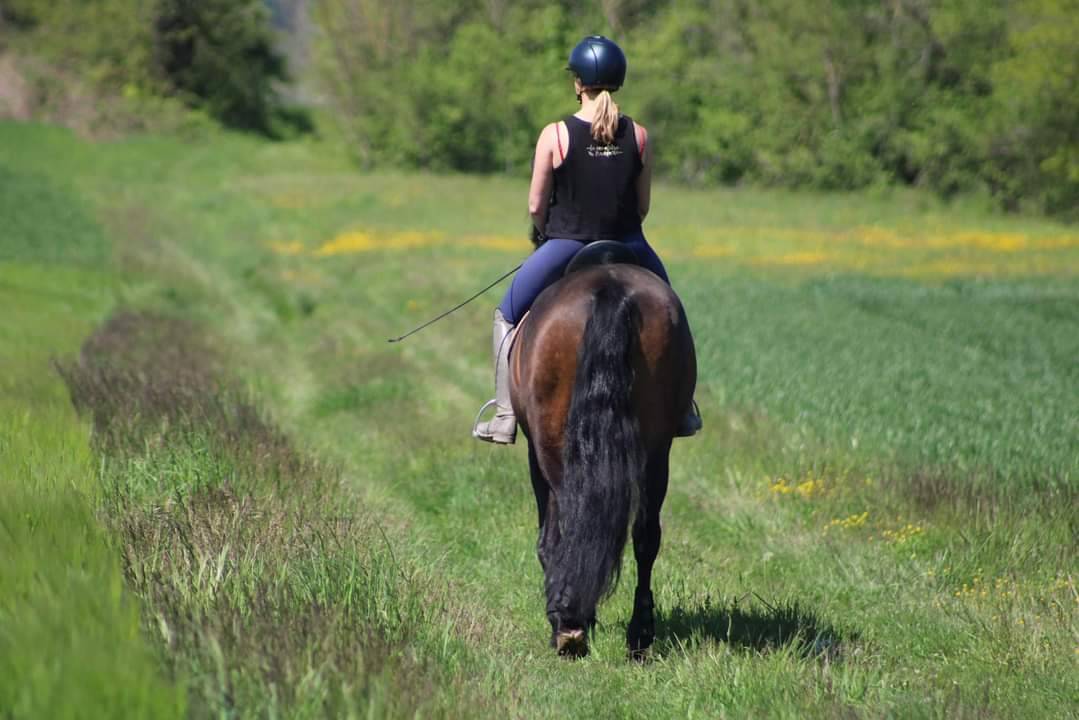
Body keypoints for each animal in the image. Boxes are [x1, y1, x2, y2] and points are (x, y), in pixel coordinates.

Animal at [509, 245, 697, 658]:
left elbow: (548, 537)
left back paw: (568, 627)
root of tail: (611, 287)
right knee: (645, 534)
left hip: (551, 445)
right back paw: (639, 635)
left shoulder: (533, 452)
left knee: (568, 526)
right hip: (658, 450)